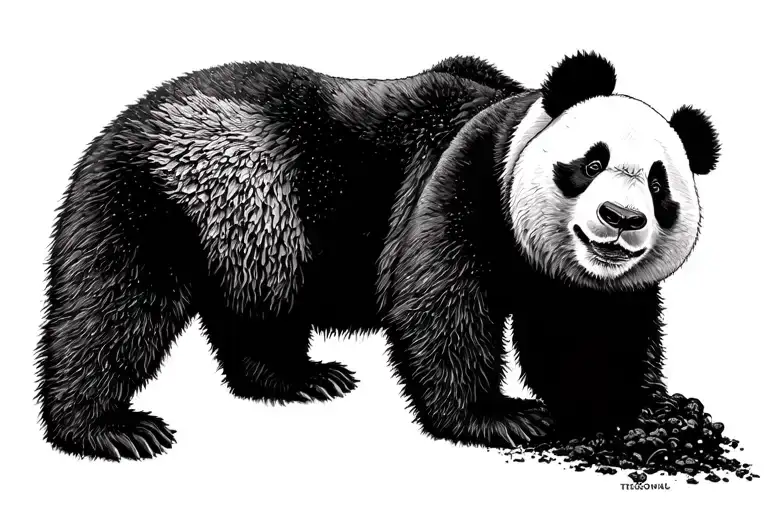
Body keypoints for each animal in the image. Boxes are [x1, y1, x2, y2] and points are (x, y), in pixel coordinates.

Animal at [36, 51, 720, 460]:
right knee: (115, 307)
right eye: (591, 161)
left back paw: (299, 377)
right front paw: (503, 417)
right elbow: (436, 303)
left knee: (259, 314)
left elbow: (593, 329)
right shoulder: (462, 179)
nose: (620, 220)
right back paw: (109, 429)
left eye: (659, 185)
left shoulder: (582, 282)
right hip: (186, 191)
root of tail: (120, 127)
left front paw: (636, 411)